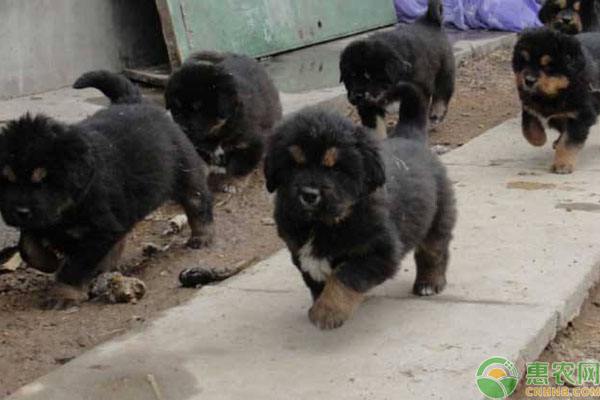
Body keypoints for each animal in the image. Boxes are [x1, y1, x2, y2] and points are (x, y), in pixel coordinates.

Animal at [0, 71, 214, 310]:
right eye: (7, 180)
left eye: (43, 181)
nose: (20, 211)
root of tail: (134, 102)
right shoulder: (41, 223)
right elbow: (28, 248)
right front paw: (51, 262)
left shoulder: (100, 231)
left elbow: (74, 267)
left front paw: (64, 294)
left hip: (185, 172)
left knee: (198, 204)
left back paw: (202, 237)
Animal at [165, 51, 282, 189]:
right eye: (176, 109)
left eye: (198, 109)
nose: (182, 129)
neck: (217, 133)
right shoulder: (197, 147)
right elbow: (200, 164)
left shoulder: (250, 144)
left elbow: (238, 168)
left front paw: (232, 183)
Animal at [264, 83, 458, 330]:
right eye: (294, 164)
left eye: (336, 168)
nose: (308, 194)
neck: (323, 224)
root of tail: (409, 136)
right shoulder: (298, 250)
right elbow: (317, 281)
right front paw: (320, 304)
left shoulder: (380, 251)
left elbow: (344, 275)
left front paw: (327, 312)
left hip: (437, 215)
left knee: (434, 250)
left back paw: (429, 283)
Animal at [338, 0, 454, 138]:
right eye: (350, 77)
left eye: (369, 77)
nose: (356, 97)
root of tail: (429, 20)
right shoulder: (368, 106)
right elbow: (376, 126)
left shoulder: (419, 89)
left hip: (445, 69)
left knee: (443, 92)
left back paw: (436, 113)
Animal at [510, 26, 600, 173]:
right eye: (524, 61)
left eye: (547, 66)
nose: (528, 81)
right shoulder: (528, 104)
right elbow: (528, 126)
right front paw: (538, 139)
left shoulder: (580, 115)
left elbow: (568, 142)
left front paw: (562, 165)